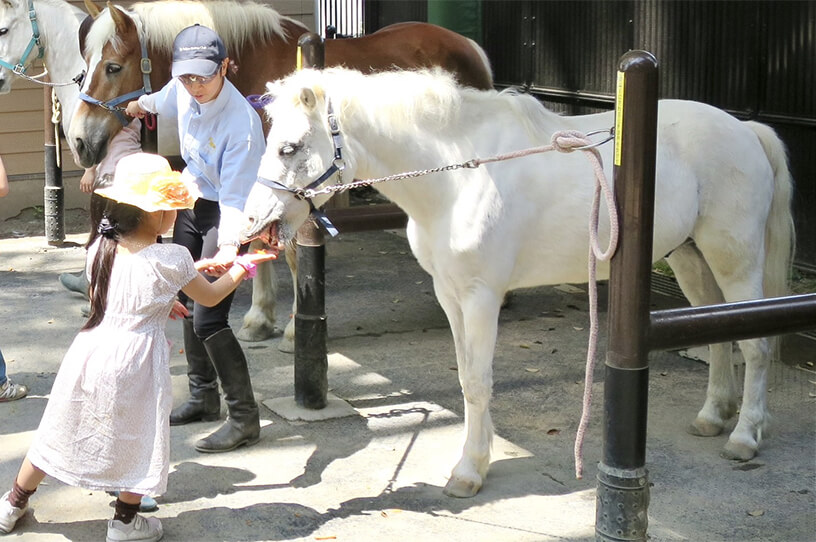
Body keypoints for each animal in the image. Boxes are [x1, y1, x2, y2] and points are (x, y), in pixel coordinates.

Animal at [67, 0, 490, 348]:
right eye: (84, 68)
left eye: (113, 67)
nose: (79, 141)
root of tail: (470, 46)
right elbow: (255, 238)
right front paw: (259, 318)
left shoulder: (293, 190)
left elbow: (288, 251)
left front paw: (291, 329)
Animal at [250, 67, 796, 498]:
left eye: (290, 147)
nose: (255, 219)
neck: (458, 177)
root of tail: (746, 130)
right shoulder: (450, 296)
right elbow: (467, 378)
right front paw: (479, 455)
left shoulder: (481, 297)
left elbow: (478, 382)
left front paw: (469, 471)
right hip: (689, 258)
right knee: (719, 334)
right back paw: (713, 415)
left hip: (735, 259)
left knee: (756, 345)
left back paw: (744, 436)